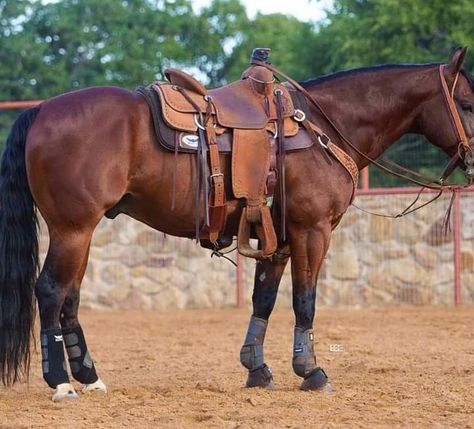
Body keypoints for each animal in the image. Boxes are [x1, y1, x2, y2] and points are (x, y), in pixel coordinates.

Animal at [0, 47, 474, 402]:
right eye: (467, 103)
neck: (324, 128)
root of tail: (40, 110)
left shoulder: (278, 237)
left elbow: (263, 299)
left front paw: (257, 368)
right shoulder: (312, 231)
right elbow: (305, 301)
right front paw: (311, 371)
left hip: (82, 232)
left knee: (71, 297)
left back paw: (89, 376)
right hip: (73, 229)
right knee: (51, 291)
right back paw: (61, 382)